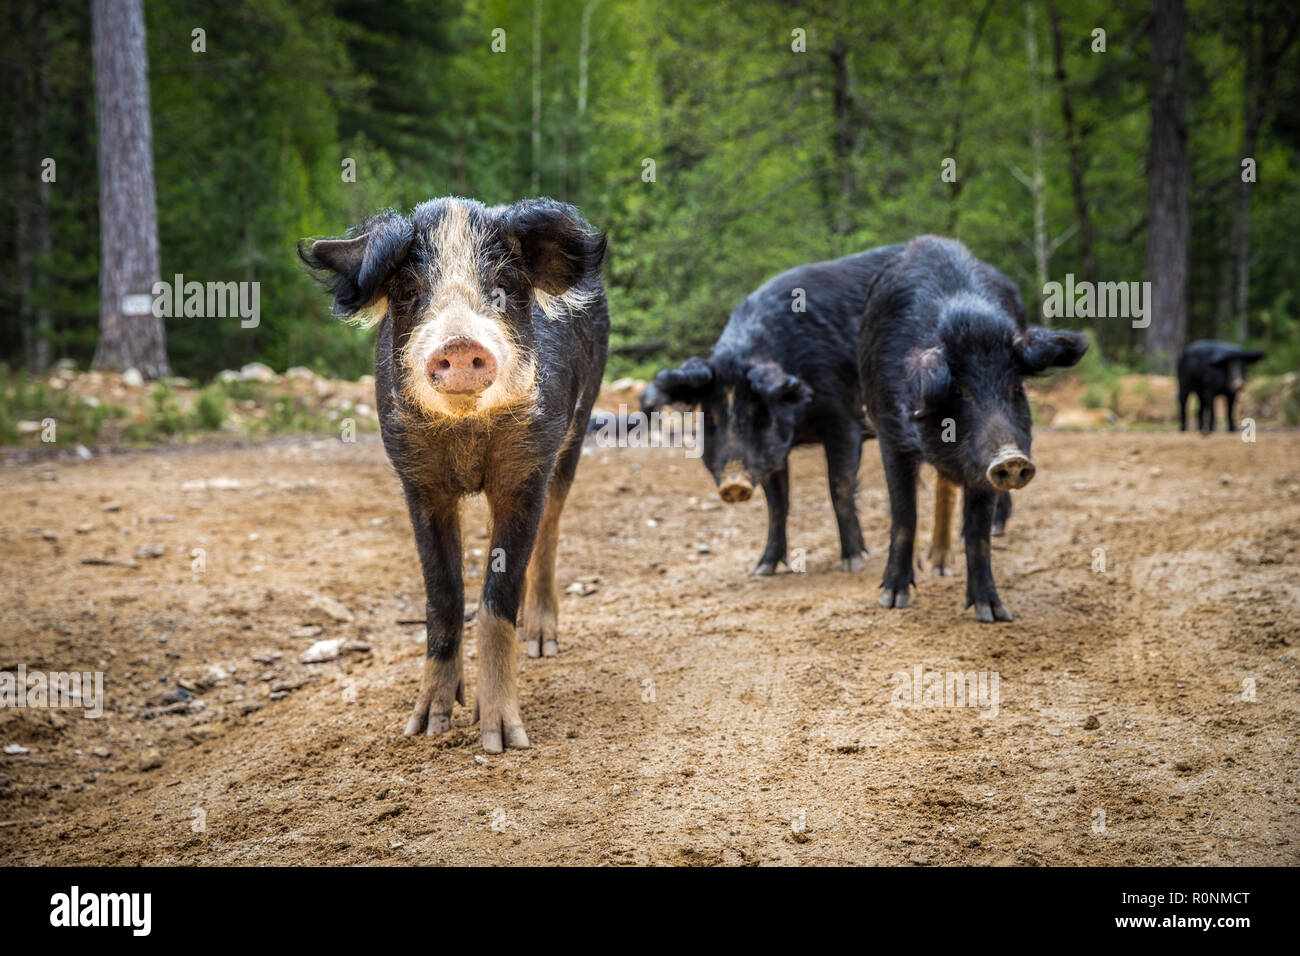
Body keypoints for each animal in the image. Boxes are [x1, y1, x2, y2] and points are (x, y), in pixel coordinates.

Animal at [300, 197, 608, 752]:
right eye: (409, 291)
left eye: (502, 287)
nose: (461, 343)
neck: (466, 435)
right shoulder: (417, 479)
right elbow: (443, 595)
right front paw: (427, 726)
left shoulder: (526, 468)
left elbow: (495, 599)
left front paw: (501, 739)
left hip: (579, 422)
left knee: (551, 526)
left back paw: (541, 643)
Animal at [644, 246, 902, 575]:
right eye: (711, 419)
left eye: (757, 415)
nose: (734, 482)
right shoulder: (772, 453)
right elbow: (776, 503)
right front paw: (762, 569)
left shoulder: (843, 420)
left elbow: (839, 487)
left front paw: (854, 562)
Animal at [857, 236, 1088, 622]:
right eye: (959, 391)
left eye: (1014, 387)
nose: (1011, 458)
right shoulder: (889, 432)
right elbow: (904, 513)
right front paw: (892, 599)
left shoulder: (982, 468)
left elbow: (979, 533)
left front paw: (994, 613)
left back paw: (941, 567)